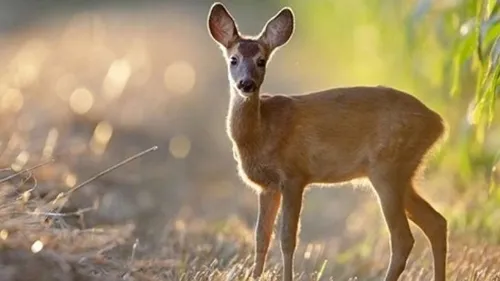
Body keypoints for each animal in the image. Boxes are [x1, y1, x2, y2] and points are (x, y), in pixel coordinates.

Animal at [207, 2, 450, 280]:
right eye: (233, 59)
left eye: (261, 61)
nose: (246, 84)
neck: (260, 131)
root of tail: (438, 123)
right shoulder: (267, 186)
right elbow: (261, 237)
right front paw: (255, 275)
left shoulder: (294, 175)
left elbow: (287, 238)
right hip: (403, 173)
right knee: (436, 222)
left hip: (388, 167)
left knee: (403, 238)